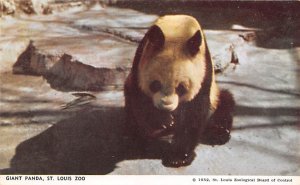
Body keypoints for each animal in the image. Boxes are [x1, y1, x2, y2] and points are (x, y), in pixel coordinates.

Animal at [123, 14, 234, 168]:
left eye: (181, 88)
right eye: (156, 84)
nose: (166, 107)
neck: (178, 30)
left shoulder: (203, 70)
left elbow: (194, 111)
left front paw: (178, 157)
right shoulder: (139, 62)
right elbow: (140, 100)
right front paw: (161, 122)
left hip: (215, 96)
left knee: (225, 102)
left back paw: (217, 133)